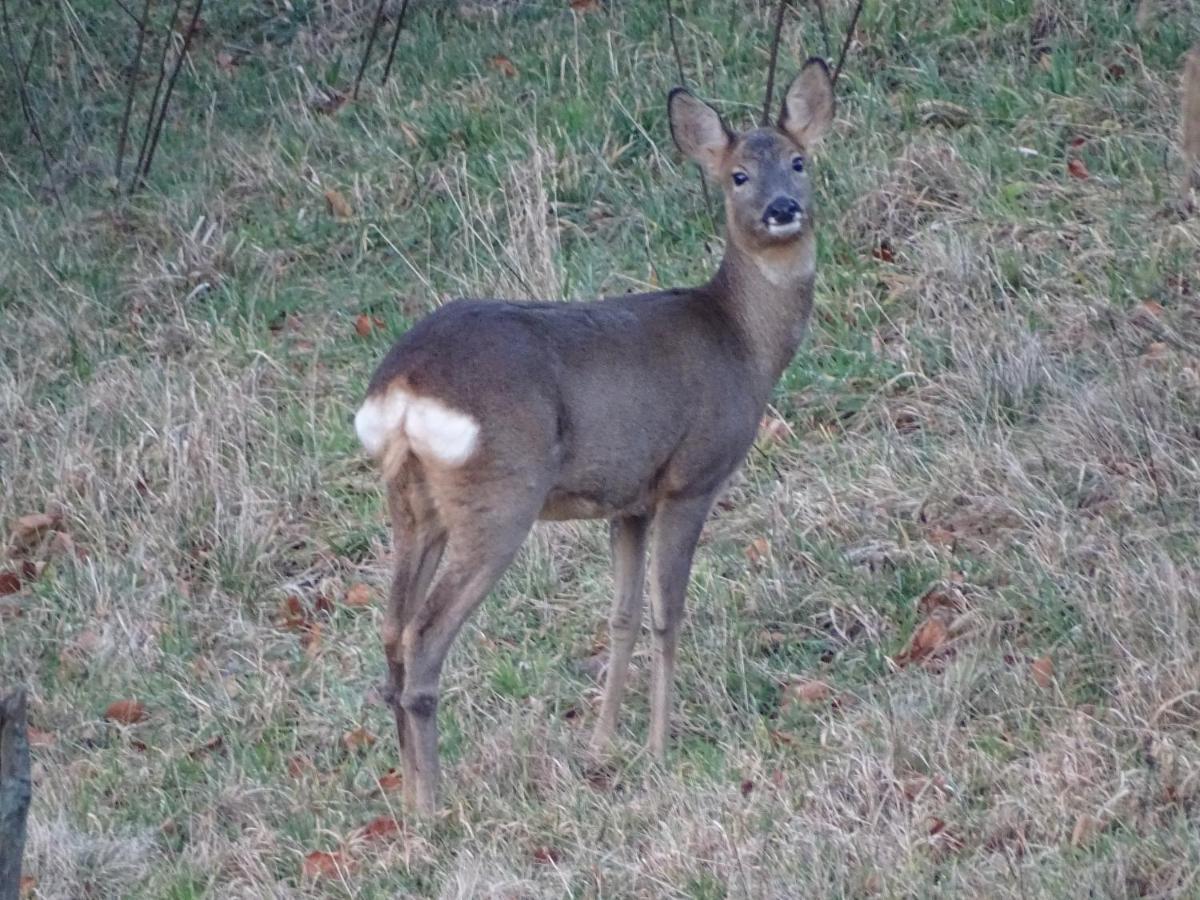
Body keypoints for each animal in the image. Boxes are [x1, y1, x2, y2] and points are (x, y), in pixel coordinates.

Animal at [355, 58, 835, 816]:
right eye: (737, 175)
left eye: (798, 161)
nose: (783, 209)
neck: (743, 342)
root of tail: (402, 385)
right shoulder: (692, 476)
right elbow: (668, 614)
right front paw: (660, 748)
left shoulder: (628, 499)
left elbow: (621, 615)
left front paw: (602, 744)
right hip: (500, 493)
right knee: (425, 635)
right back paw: (435, 805)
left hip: (410, 502)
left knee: (392, 629)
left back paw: (409, 795)